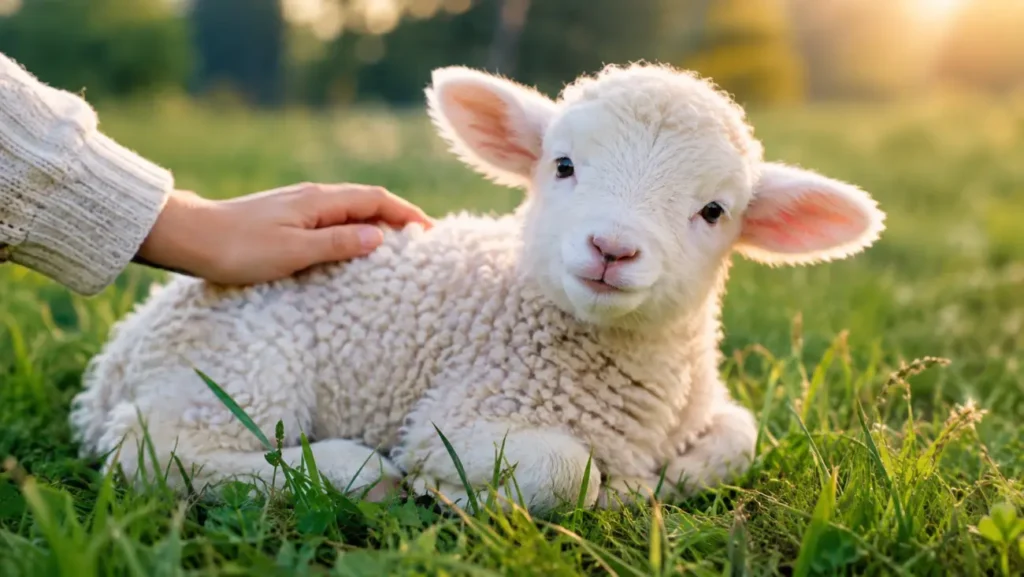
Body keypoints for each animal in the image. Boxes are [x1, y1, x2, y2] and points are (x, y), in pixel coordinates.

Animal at [68, 62, 885, 514]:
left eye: (715, 210)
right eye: (562, 165)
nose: (612, 249)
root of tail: (118, 355)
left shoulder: (702, 405)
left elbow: (740, 436)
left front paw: (678, 473)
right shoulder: (458, 415)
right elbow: (567, 471)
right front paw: (456, 492)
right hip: (238, 367)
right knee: (152, 452)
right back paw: (350, 471)